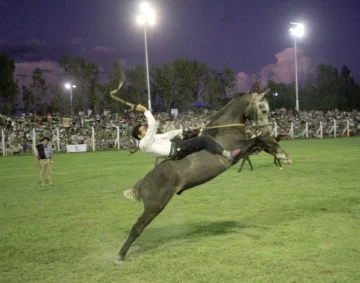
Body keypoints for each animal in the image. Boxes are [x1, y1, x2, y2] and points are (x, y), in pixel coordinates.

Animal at [115, 90, 284, 266]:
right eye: (263, 110)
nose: (267, 130)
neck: (223, 132)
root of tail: (141, 184)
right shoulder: (240, 150)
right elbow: (258, 141)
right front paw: (279, 152)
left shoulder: (245, 150)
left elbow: (260, 143)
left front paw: (277, 150)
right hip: (154, 207)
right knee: (137, 227)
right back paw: (120, 256)